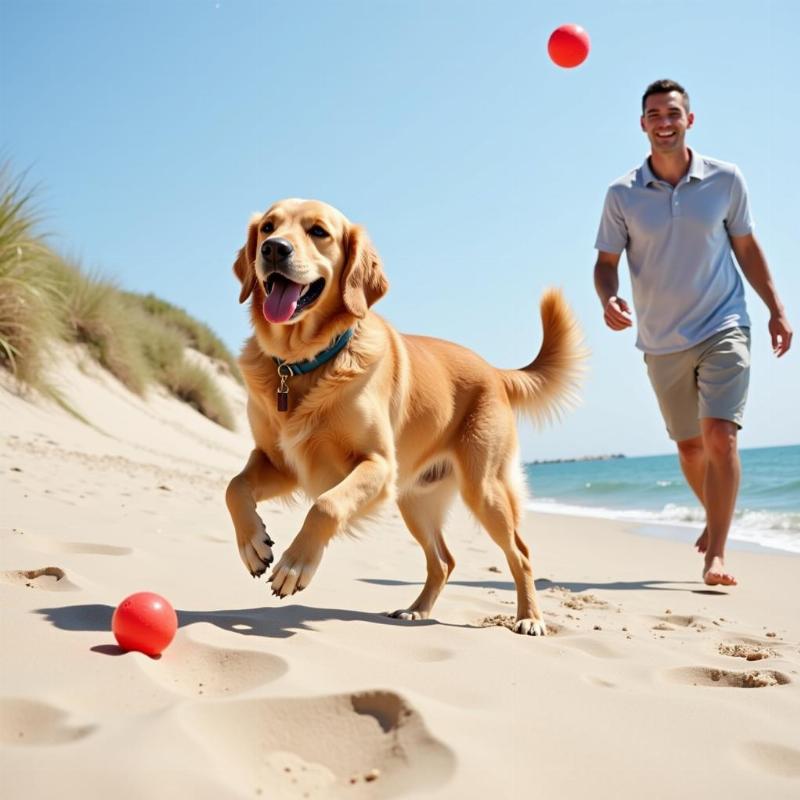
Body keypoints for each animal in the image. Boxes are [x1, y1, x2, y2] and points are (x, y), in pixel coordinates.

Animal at [225, 200, 580, 636]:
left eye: (318, 231)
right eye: (268, 227)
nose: (274, 249)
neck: (303, 363)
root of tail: (494, 371)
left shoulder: (377, 465)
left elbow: (325, 505)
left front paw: (295, 566)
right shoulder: (279, 461)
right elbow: (234, 487)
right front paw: (253, 544)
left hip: (484, 489)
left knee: (520, 553)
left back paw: (529, 617)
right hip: (416, 500)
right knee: (443, 560)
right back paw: (416, 610)